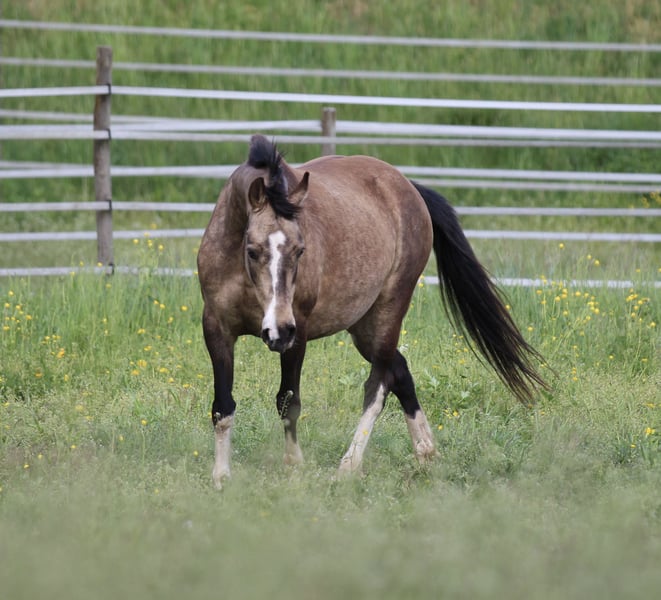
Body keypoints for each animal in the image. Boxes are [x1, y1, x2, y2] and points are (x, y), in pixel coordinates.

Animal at [198, 135, 548, 488]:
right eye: (253, 251)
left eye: (300, 250)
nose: (277, 330)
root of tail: (407, 187)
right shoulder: (216, 328)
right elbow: (223, 406)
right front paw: (221, 476)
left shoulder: (299, 333)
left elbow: (288, 401)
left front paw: (294, 465)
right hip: (363, 327)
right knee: (400, 372)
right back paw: (426, 453)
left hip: (387, 312)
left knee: (378, 386)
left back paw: (349, 466)